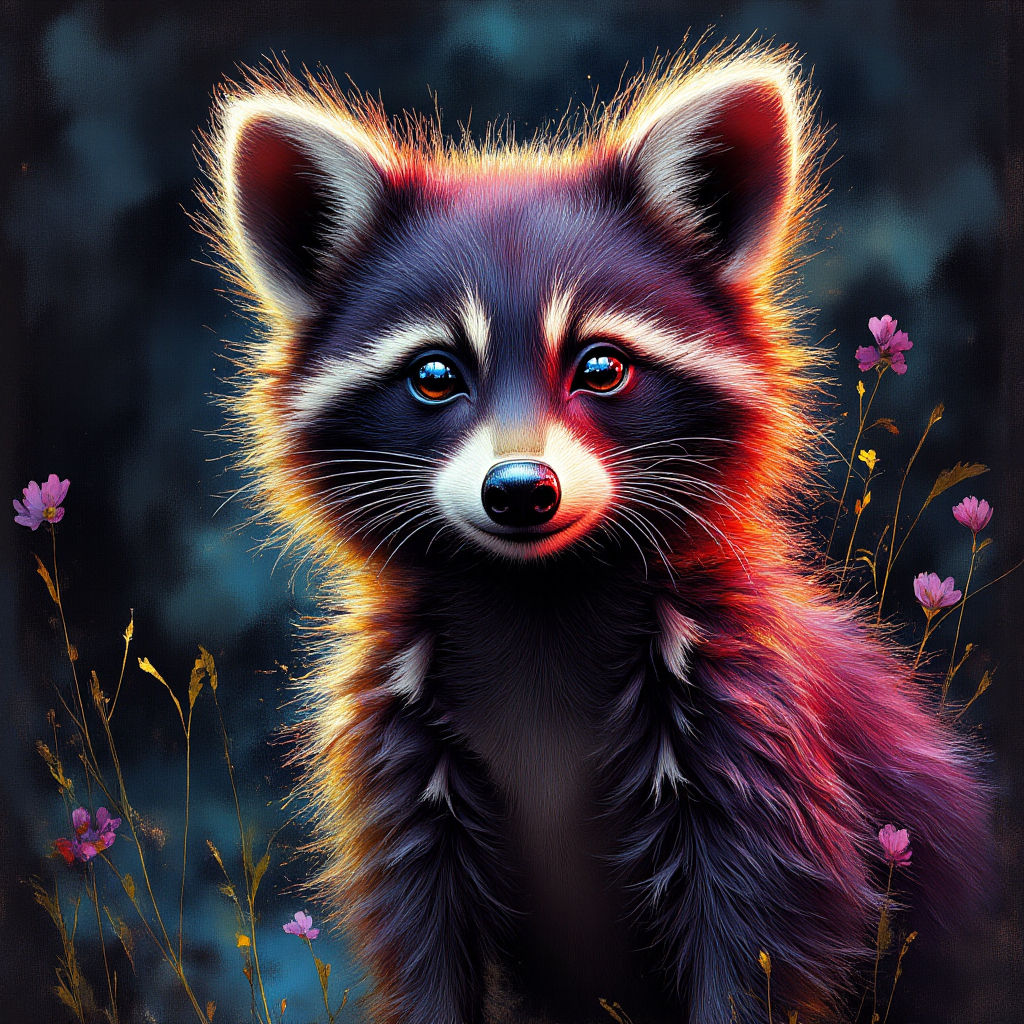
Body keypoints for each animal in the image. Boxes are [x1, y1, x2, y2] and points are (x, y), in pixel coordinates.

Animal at [201, 44, 989, 1024]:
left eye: (601, 366)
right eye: (435, 374)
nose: (519, 492)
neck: (537, 591)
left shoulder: (757, 744)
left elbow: (756, 954)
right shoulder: (401, 771)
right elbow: (425, 959)